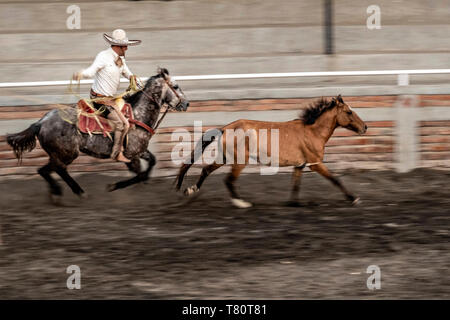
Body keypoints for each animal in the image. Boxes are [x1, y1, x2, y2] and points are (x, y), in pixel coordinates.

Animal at [7, 67, 190, 202]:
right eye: (175, 86)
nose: (187, 103)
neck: (138, 116)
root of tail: (41, 122)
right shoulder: (131, 155)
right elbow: (138, 174)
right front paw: (114, 186)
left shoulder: (140, 151)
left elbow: (151, 162)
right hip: (67, 154)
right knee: (57, 170)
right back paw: (77, 192)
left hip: (58, 154)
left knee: (44, 170)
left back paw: (57, 192)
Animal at [174, 95, 368, 209]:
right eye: (349, 112)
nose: (365, 127)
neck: (312, 132)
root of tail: (225, 128)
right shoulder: (316, 163)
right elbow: (335, 179)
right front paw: (354, 198)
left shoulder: (300, 165)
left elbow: (295, 184)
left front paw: (293, 203)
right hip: (239, 161)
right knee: (228, 179)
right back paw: (242, 203)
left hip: (224, 157)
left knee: (206, 170)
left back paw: (190, 190)